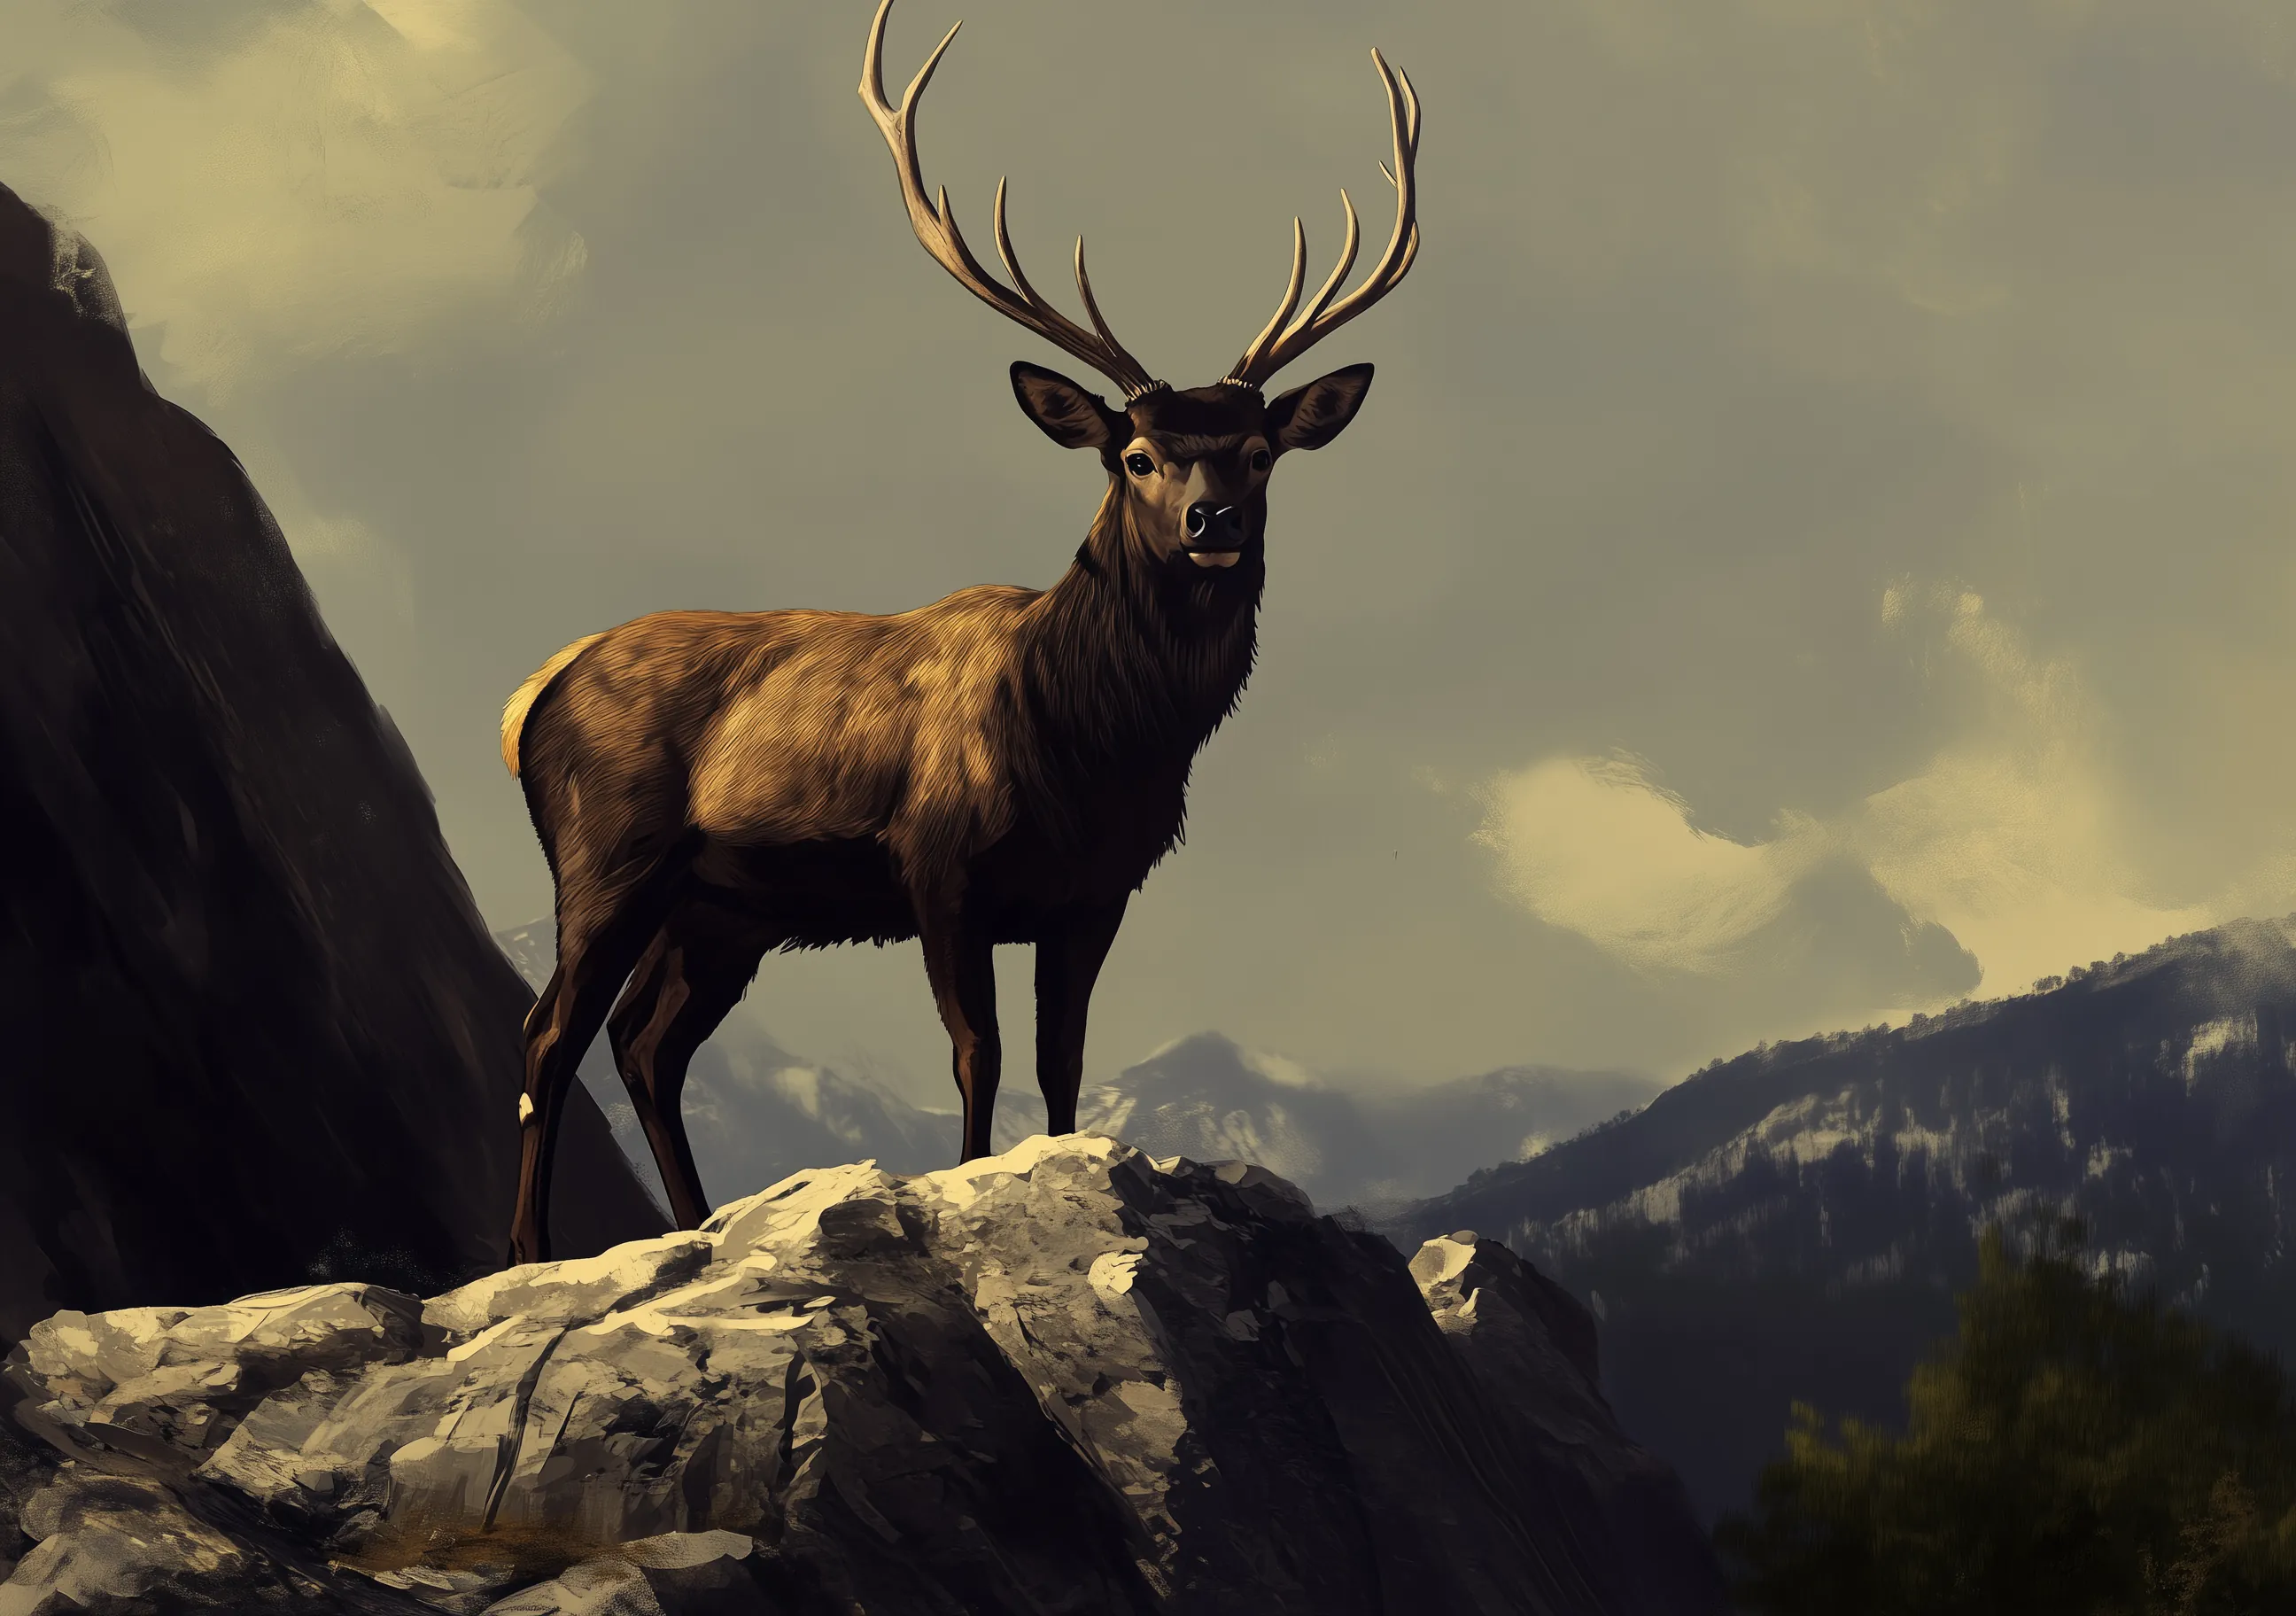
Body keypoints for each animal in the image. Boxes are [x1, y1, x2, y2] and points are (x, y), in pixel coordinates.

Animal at [498, 0, 1420, 1264]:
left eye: (1260, 452)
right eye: (1137, 455)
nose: (1214, 521)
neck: (1090, 743)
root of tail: (526, 697)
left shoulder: (1097, 891)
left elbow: (1062, 1061)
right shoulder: (940, 866)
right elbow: (976, 1056)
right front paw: (970, 1194)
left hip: (723, 907)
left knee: (648, 1044)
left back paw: (695, 1230)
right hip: (608, 857)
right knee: (553, 1036)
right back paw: (530, 1253)